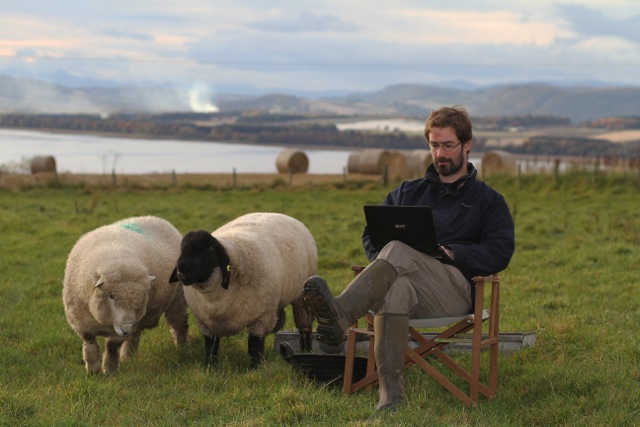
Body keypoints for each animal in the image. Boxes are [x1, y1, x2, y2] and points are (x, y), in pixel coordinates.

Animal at [62, 216, 188, 372]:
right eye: (111, 296)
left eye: (142, 297)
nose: (126, 329)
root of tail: (158, 219)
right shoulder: (82, 322)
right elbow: (90, 346)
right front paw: (92, 370)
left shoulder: (121, 330)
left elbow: (111, 347)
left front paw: (109, 370)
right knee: (135, 335)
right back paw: (128, 356)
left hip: (177, 298)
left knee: (178, 324)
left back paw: (181, 348)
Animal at [171, 212, 316, 370]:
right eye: (182, 248)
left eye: (209, 248)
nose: (182, 270)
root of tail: (278, 214)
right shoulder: (206, 323)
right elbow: (211, 347)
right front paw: (210, 367)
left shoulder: (262, 318)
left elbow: (254, 345)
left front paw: (255, 368)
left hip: (301, 297)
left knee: (304, 325)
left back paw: (306, 350)